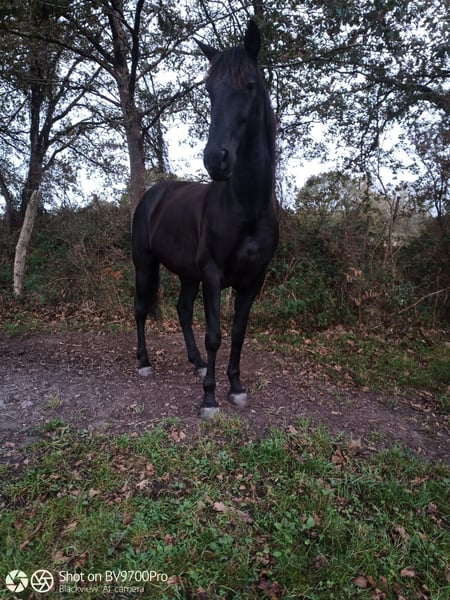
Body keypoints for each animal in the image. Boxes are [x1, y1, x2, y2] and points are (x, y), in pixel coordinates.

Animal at [132, 20, 278, 419]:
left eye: (249, 85)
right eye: (210, 91)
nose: (216, 159)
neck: (247, 207)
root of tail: (153, 194)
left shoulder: (253, 279)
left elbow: (238, 332)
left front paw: (236, 387)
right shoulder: (213, 274)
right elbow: (215, 334)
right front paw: (209, 399)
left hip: (187, 274)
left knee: (182, 310)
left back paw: (196, 362)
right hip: (144, 263)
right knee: (140, 310)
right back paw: (144, 362)